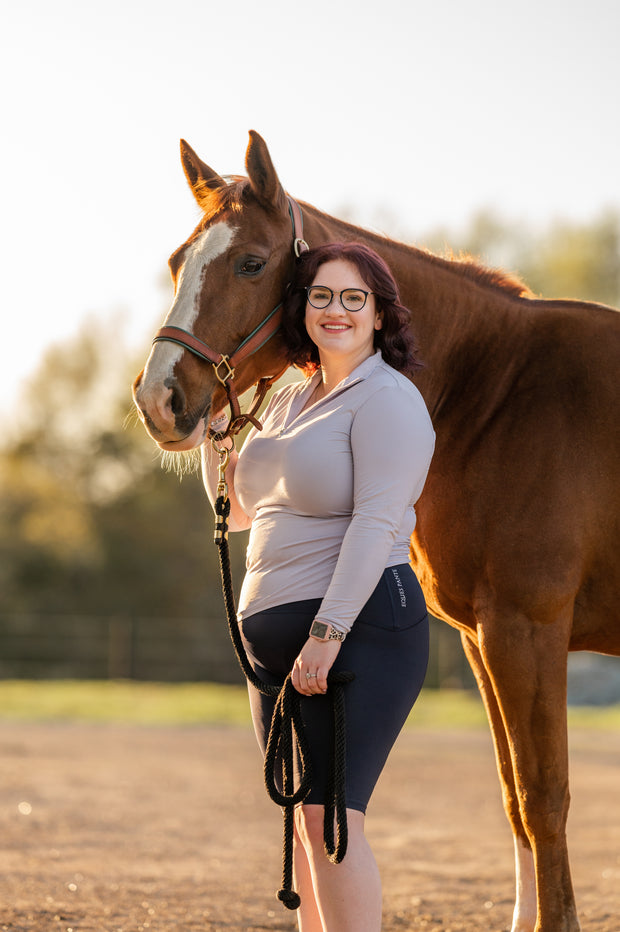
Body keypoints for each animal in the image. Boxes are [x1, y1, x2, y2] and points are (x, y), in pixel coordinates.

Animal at [133, 131, 616, 932]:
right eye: (177, 262)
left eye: (251, 263)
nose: (158, 399)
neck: (497, 392)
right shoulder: (484, 640)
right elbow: (513, 798)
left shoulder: (527, 630)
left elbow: (543, 800)